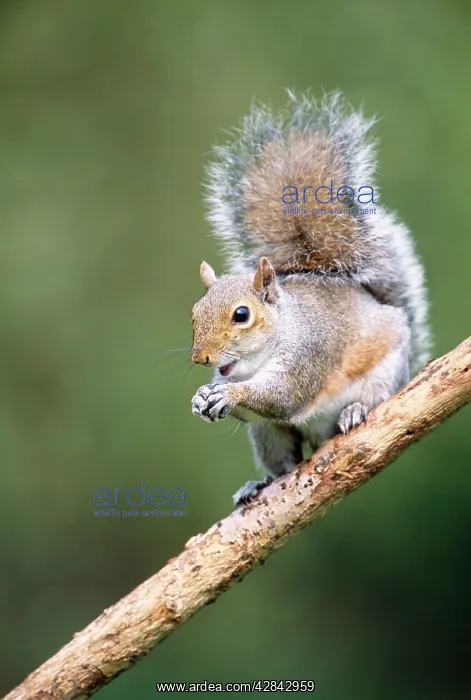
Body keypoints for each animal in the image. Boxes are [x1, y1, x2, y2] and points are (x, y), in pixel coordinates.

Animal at [190, 91, 430, 506]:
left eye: (242, 314)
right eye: (194, 313)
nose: (200, 358)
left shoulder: (308, 354)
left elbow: (283, 397)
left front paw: (228, 394)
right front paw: (201, 397)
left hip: (387, 372)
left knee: (375, 398)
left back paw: (354, 411)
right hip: (270, 436)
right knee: (282, 464)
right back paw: (258, 485)